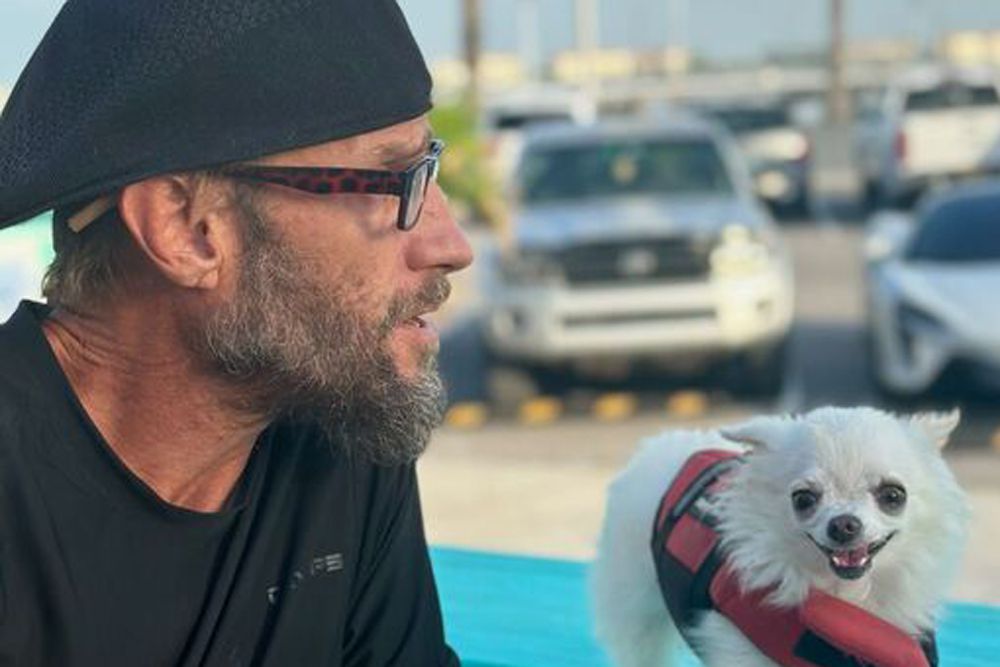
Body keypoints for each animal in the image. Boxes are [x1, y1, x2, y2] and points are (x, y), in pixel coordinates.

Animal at [590, 407, 969, 667]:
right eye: (803, 499)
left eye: (893, 495)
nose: (844, 524)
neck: (846, 597)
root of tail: (660, 445)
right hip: (634, 611)